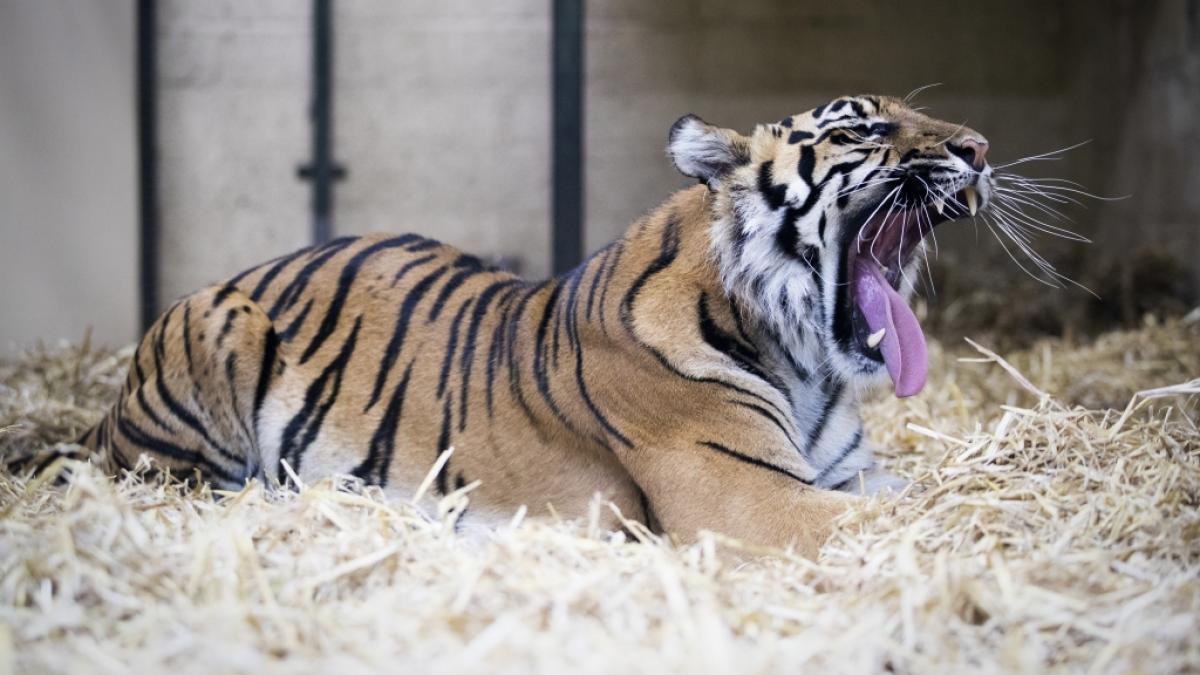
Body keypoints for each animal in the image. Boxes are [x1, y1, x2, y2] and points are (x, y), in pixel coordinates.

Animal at [74, 94, 992, 557]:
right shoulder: (751, 496)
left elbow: (928, 494)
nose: (981, 148)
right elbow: (917, 518)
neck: (803, 359)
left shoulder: (847, 477)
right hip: (215, 328)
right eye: (863, 128)